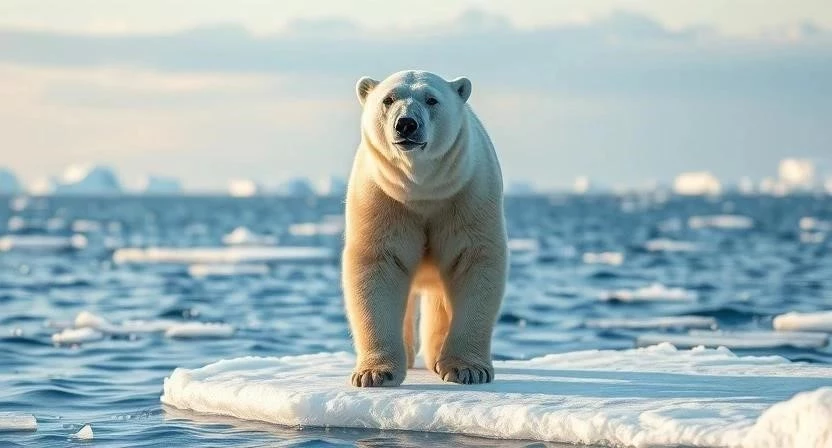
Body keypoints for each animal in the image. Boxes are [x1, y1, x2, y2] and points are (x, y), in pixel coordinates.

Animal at [342, 70, 508, 387]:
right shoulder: (382, 199)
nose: (406, 124)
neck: (422, 190)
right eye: (388, 99)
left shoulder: (469, 196)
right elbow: (377, 265)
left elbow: (474, 261)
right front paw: (375, 373)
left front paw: (468, 370)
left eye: (431, 99)